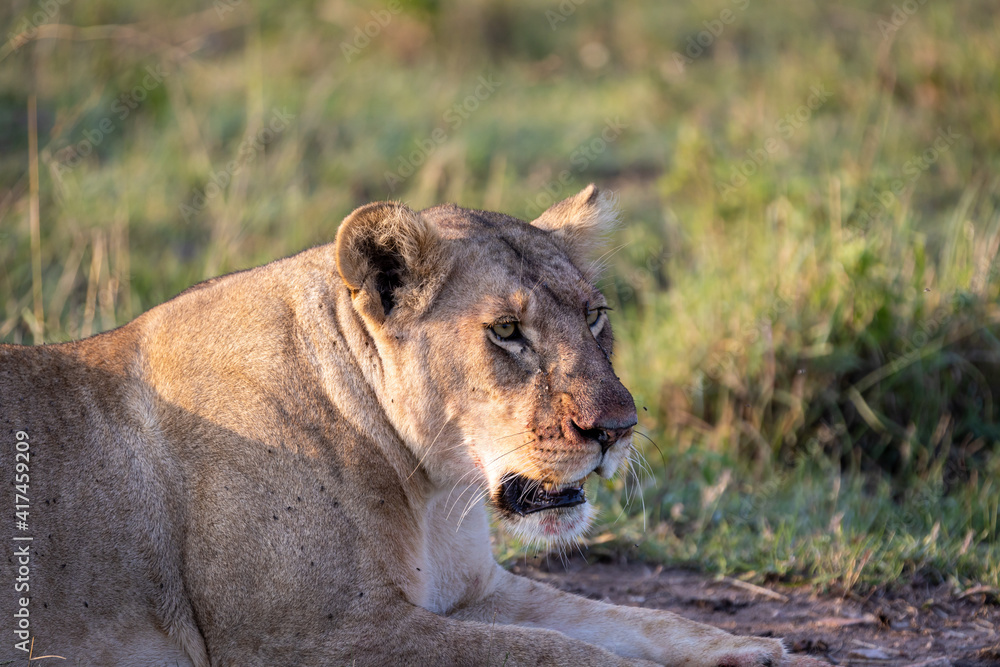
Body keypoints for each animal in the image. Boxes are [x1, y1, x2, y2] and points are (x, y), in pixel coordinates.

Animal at [1, 185, 821, 666]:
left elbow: (625, 618)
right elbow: (554, 651)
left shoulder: (476, 590)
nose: (618, 428)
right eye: (507, 332)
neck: (432, 492)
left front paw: (756, 650)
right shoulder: (309, 637)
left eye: (594, 315)